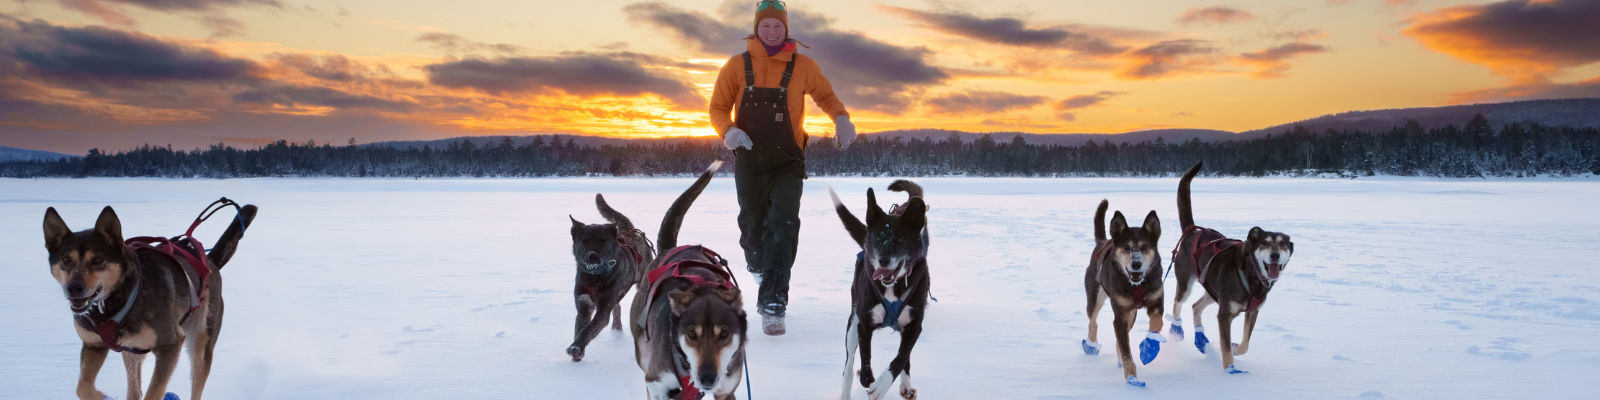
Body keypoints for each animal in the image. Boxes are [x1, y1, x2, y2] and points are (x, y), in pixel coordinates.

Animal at [832, 181, 934, 400]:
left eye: (900, 239)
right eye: (878, 239)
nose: (883, 261)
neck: (893, 287)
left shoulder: (914, 326)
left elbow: (901, 358)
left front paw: (882, 384)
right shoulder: (864, 324)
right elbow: (864, 364)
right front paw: (869, 379)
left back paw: (905, 385)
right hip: (852, 324)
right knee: (849, 364)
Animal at [1171, 160, 1292, 372]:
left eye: (1283, 244)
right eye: (1265, 243)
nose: (1275, 255)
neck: (1251, 277)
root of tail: (1192, 230)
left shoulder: (1252, 311)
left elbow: (1245, 344)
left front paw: (1236, 349)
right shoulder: (1224, 315)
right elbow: (1225, 347)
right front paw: (1230, 370)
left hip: (1212, 290)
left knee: (1195, 306)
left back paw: (1201, 339)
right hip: (1186, 282)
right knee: (1177, 304)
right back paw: (1176, 330)